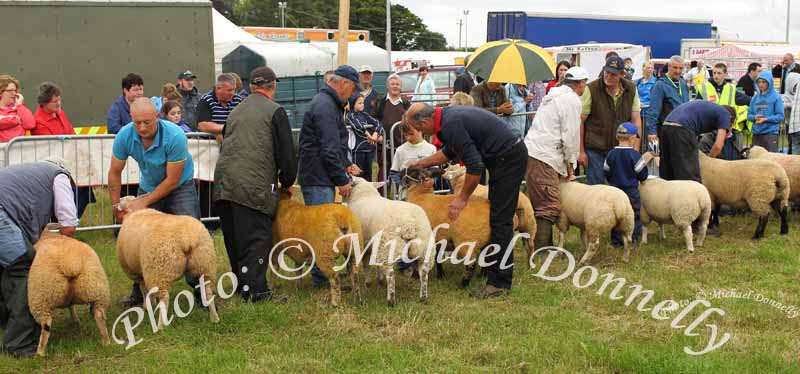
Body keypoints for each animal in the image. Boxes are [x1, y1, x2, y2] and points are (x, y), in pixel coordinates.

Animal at [27, 228, 111, 356]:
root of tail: (70, 263)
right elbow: (71, 306)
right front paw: (75, 319)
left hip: (40, 299)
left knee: (46, 326)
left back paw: (40, 353)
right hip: (97, 290)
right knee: (100, 316)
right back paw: (106, 342)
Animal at [115, 197, 219, 328]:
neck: (133, 212)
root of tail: (187, 238)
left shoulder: (138, 272)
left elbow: (144, 289)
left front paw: (147, 306)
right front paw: (151, 304)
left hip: (159, 269)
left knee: (165, 298)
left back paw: (160, 325)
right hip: (205, 264)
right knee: (208, 291)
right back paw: (214, 318)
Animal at [344, 176, 432, 306]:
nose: (349, 175)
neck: (364, 194)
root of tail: (409, 223)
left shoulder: (365, 243)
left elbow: (366, 263)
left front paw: (368, 283)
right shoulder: (373, 244)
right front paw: (379, 279)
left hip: (387, 245)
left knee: (390, 273)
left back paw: (391, 300)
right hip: (425, 248)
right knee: (424, 272)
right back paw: (423, 297)